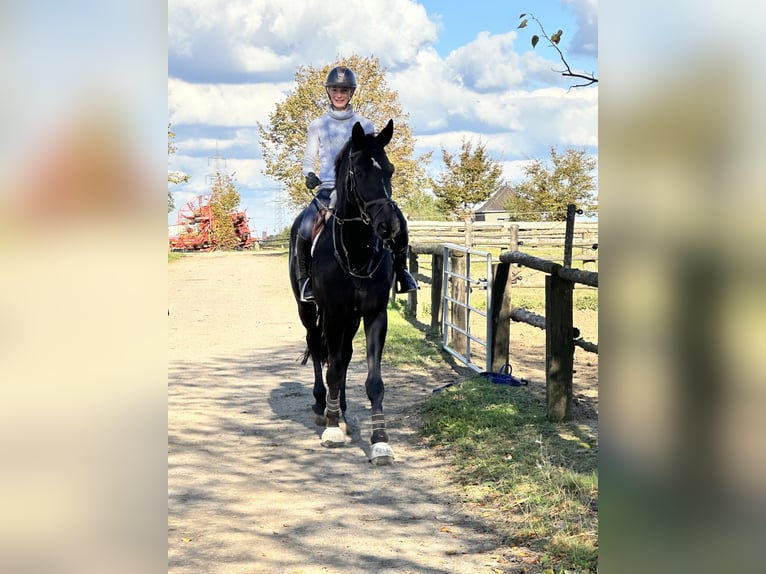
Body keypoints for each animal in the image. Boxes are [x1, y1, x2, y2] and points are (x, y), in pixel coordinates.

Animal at [290, 119, 402, 466]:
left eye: (389, 170)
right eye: (360, 172)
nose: (389, 226)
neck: (354, 250)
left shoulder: (374, 315)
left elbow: (373, 381)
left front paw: (380, 442)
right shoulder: (333, 314)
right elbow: (335, 370)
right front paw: (331, 429)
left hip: (351, 320)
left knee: (346, 354)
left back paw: (341, 411)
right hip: (309, 311)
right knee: (317, 349)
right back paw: (322, 407)